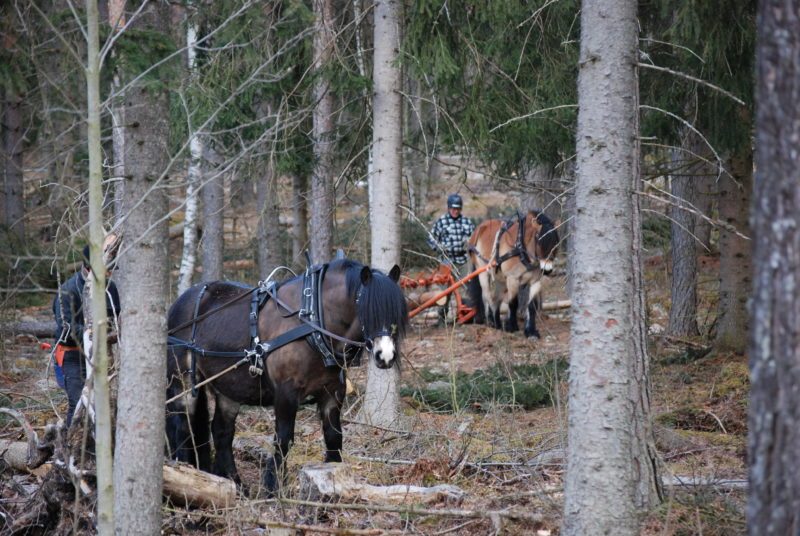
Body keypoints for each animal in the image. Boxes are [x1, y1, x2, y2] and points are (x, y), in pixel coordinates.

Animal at [166, 260, 410, 494]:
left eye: (395, 311)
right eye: (366, 307)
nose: (385, 356)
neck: (313, 323)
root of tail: (180, 301)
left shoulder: (332, 392)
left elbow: (334, 436)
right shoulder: (286, 392)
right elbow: (284, 439)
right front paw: (274, 487)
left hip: (229, 388)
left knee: (221, 432)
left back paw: (235, 484)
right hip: (184, 381)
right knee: (182, 426)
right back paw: (184, 471)